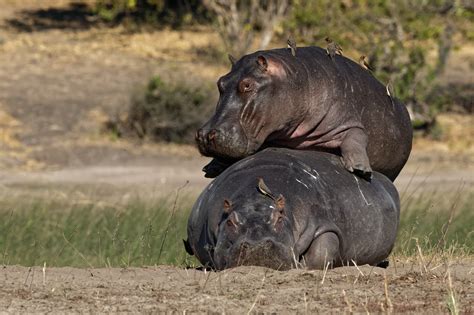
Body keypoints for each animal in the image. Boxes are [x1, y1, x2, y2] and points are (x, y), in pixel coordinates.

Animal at [185, 149, 400, 272]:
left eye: (279, 218)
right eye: (230, 221)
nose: (257, 247)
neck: (255, 198)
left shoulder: (324, 224)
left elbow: (321, 252)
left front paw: (300, 266)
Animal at [194, 45, 412, 181]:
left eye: (247, 85)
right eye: (220, 82)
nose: (205, 135)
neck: (294, 76)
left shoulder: (348, 117)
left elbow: (356, 136)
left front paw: (361, 169)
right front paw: (210, 168)